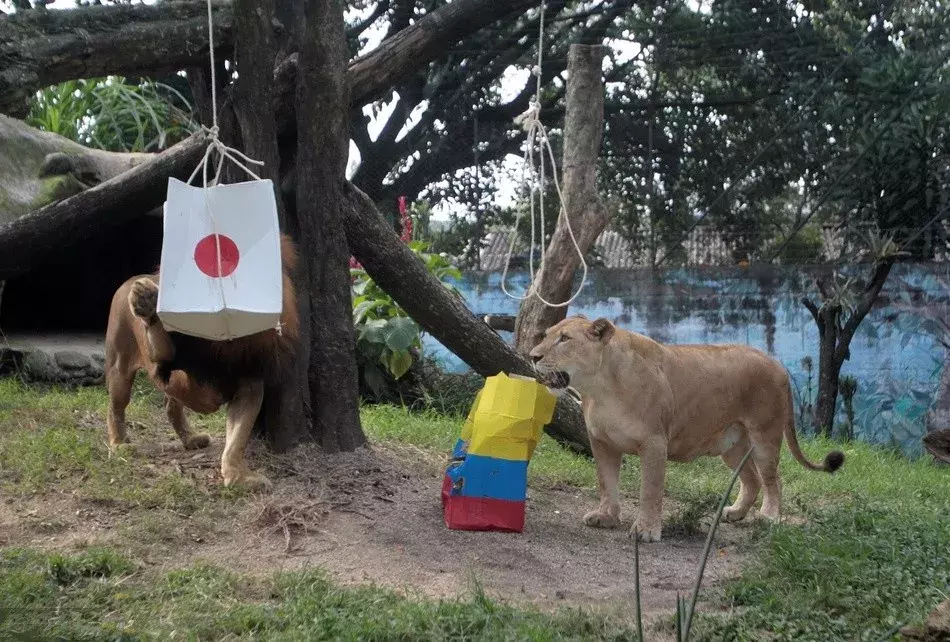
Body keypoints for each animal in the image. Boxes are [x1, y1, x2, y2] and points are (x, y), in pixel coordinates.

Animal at [103, 232, 300, 488]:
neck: (228, 339)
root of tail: (129, 279)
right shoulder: (177, 366)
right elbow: (166, 349)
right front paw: (148, 302)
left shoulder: (250, 384)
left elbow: (237, 438)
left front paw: (237, 475)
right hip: (120, 367)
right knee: (116, 406)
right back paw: (119, 444)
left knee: (170, 406)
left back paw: (191, 439)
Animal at [528, 316, 848, 540]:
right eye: (546, 336)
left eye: (564, 339)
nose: (532, 356)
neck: (600, 386)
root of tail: (776, 362)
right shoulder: (601, 442)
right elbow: (606, 482)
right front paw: (606, 517)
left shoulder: (654, 442)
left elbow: (650, 489)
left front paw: (646, 531)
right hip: (732, 446)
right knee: (753, 480)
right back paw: (735, 513)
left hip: (764, 436)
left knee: (773, 480)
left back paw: (768, 517)